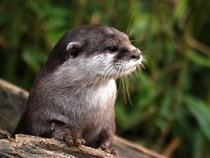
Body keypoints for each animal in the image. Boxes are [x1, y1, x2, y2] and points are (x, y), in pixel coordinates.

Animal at [13, 24, 144, 154]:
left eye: (128, 39)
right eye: (112, 48)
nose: (137, 53)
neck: (85, 111)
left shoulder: (108, 118)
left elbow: (108, 132)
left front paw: (107, 148)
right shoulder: (39, 104)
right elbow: (41, 126)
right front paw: (68, 134)